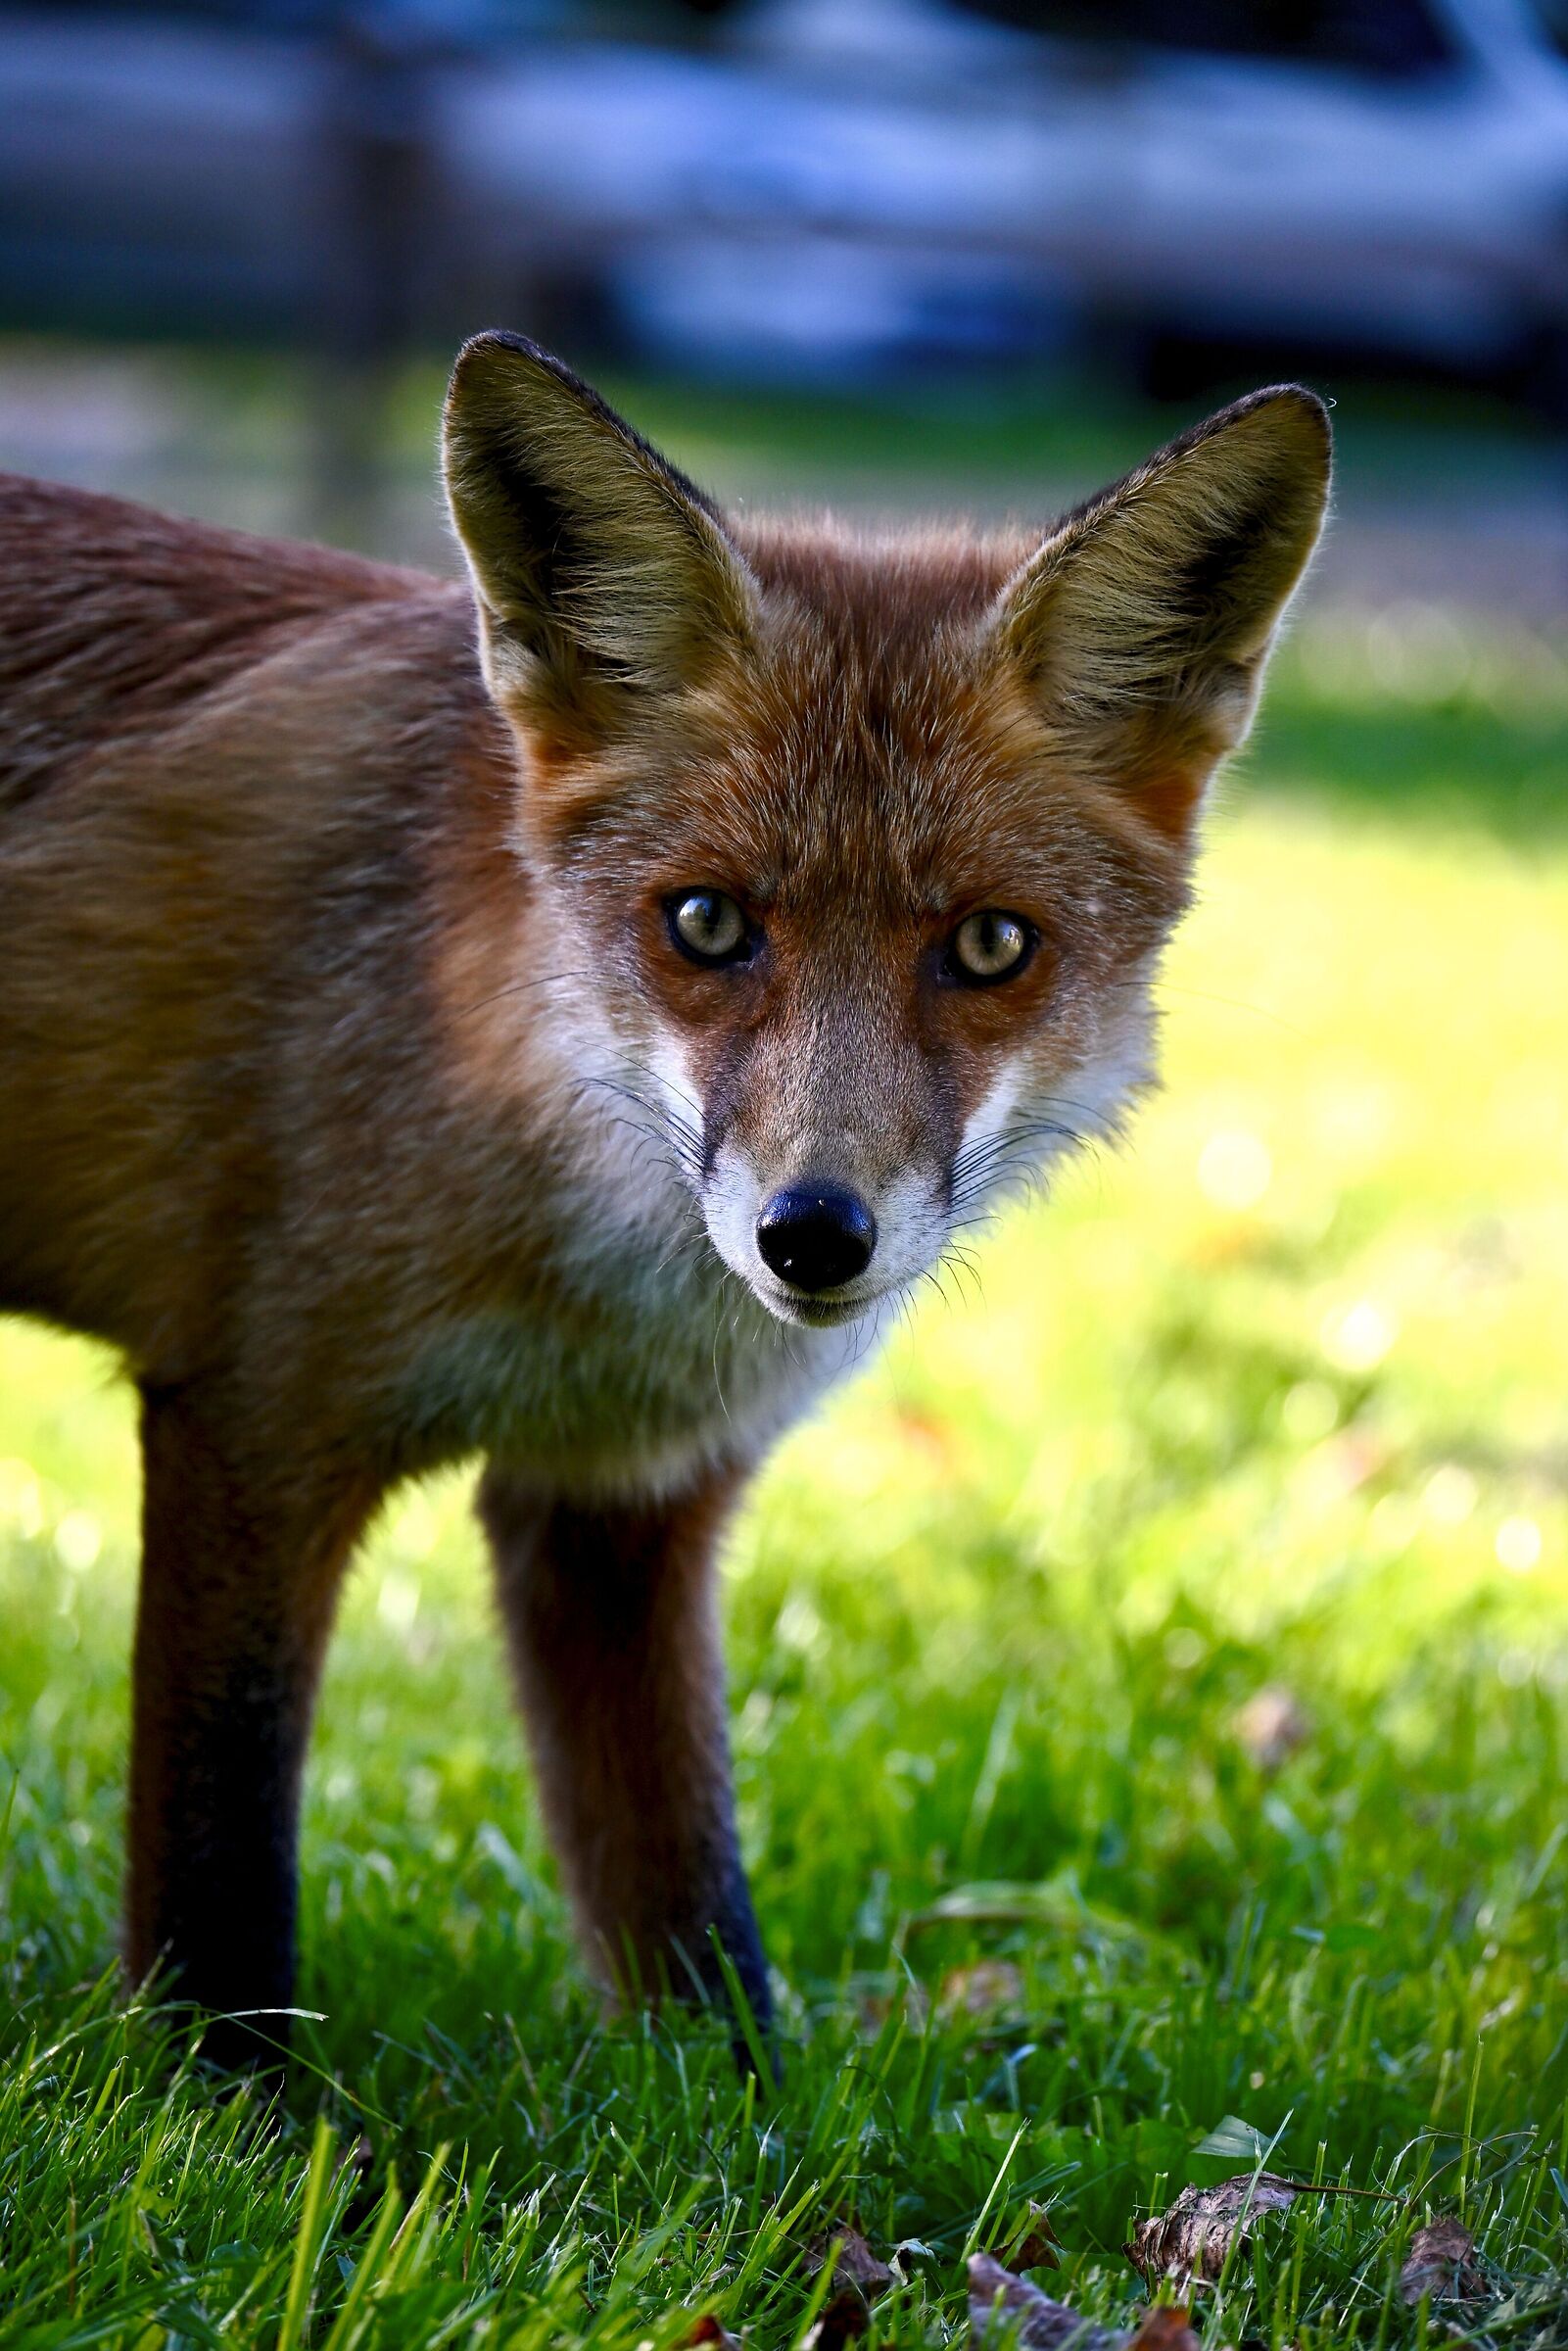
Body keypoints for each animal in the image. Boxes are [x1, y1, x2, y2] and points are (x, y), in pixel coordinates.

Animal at [0, 337, 1329, 2068]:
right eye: (705, 924)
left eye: (988, 946)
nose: (813, 1234)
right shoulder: (254, 1422)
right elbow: (222, 1866)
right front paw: (228, 2103)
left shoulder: (620, 1507)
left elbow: (693, 1918)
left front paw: (743, 2112)